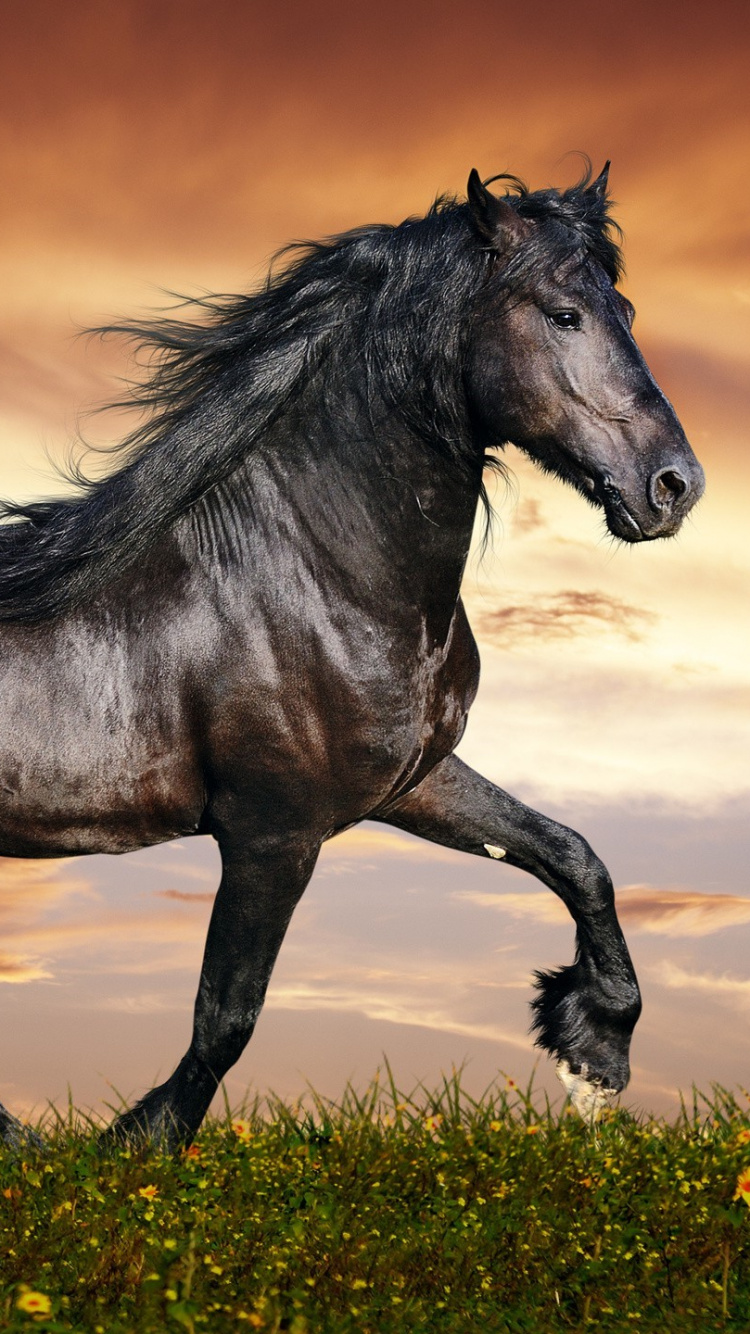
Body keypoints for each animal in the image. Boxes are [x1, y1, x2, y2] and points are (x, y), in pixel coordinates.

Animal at [0, 164, 704, 1149]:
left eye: (628, 310)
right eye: (564, 314)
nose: (675, 486)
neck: (309, 574)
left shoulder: (412, 781)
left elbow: (572, 855)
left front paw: (593, 1051)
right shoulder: (272, 833)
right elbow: (227, 1018)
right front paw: (136, 1144)